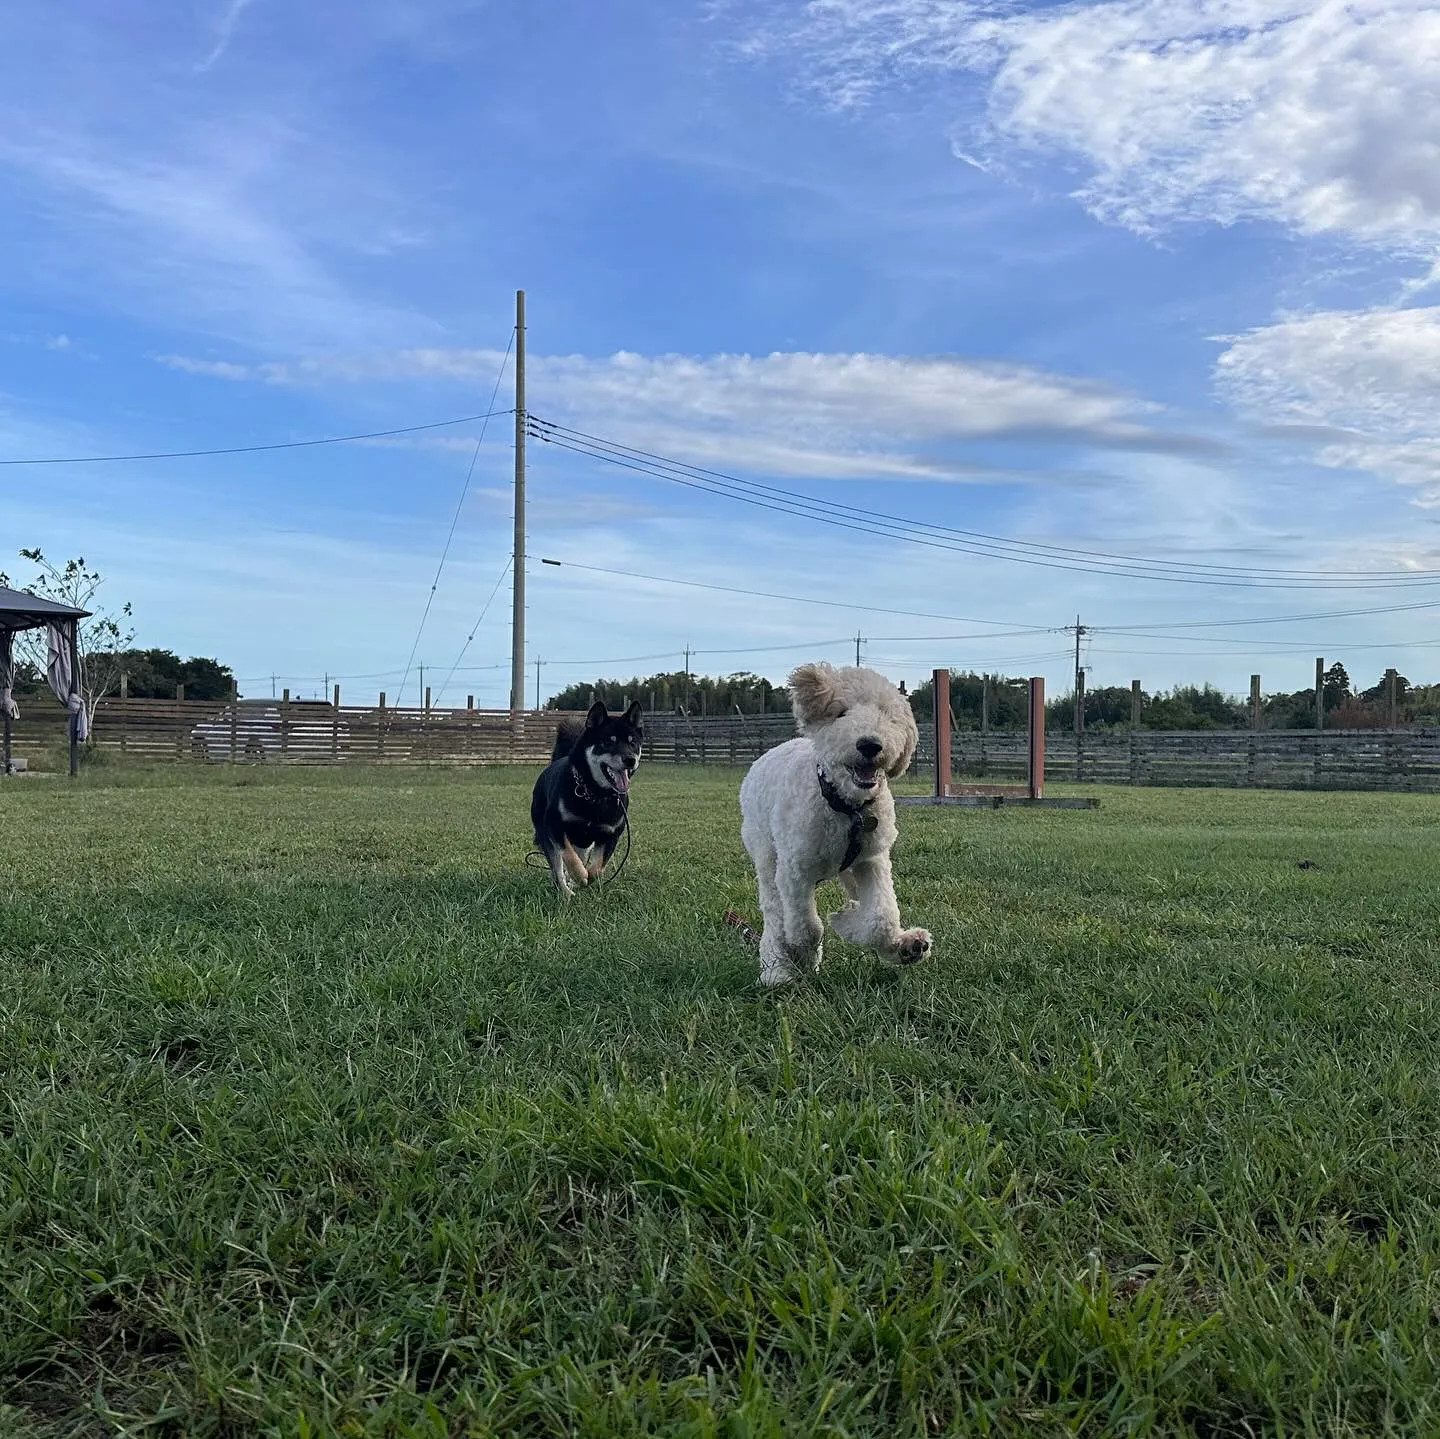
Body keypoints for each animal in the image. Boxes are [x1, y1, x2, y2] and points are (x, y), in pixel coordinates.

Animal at [529, 700, 642, 898]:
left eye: (633, 743)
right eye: (607, 742)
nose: (630, 759)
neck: (595, 795)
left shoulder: (611, 834)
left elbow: (598, 867)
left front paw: (587, 877)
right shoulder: (554, 826)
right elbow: (568, 855)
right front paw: (580, 875)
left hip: (584, 843)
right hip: (545, 833)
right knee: (557, 868)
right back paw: (566, 892)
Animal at [743, 665, 933, 991]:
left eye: (887, 714)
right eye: (841, 713)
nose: (870, 744)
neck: (847, 808)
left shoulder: (872, 860)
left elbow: (881, 916)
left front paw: (848, 920)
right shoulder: (794, 870)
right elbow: (806, 927)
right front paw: (804, 955)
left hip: (849, 869)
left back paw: (905, 945)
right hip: (767, 858)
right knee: (775, 915)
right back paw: (775, 970)